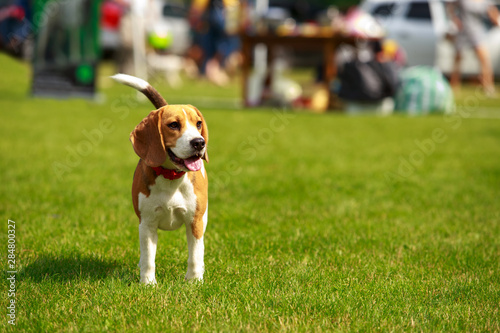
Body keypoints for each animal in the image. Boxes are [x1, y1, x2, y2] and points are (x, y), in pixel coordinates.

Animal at [112, 73, 209, 282]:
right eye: (173, 125)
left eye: (198, 124)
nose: (199, 142)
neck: (171, 177)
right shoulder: (147, 224)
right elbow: (149, 258)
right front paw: (148, 283)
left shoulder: (195, 222)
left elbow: (195, 255)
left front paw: (194, 281)